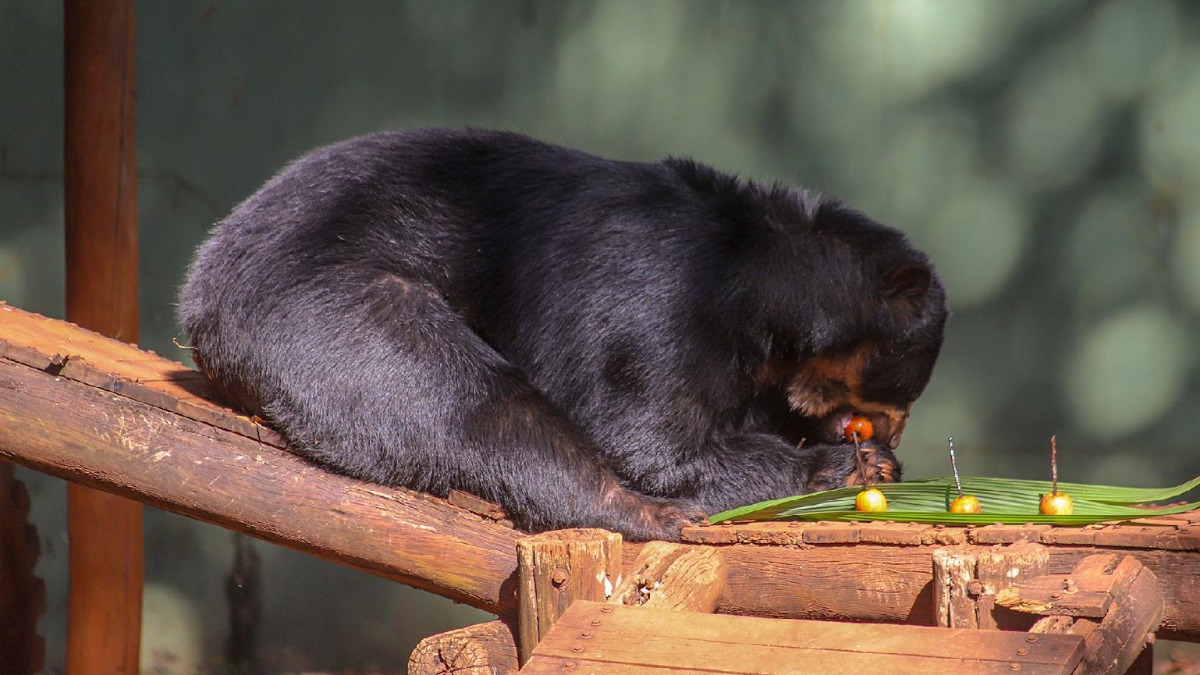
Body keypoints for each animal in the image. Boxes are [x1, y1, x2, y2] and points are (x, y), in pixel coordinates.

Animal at [179, 129, 948, 541]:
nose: (888, 429)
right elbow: (650, 440)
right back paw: (644, 513)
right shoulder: (661, 296)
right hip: (323, 304)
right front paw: (843, 465)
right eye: (897, 402)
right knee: (466, 396)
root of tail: (202, 285)